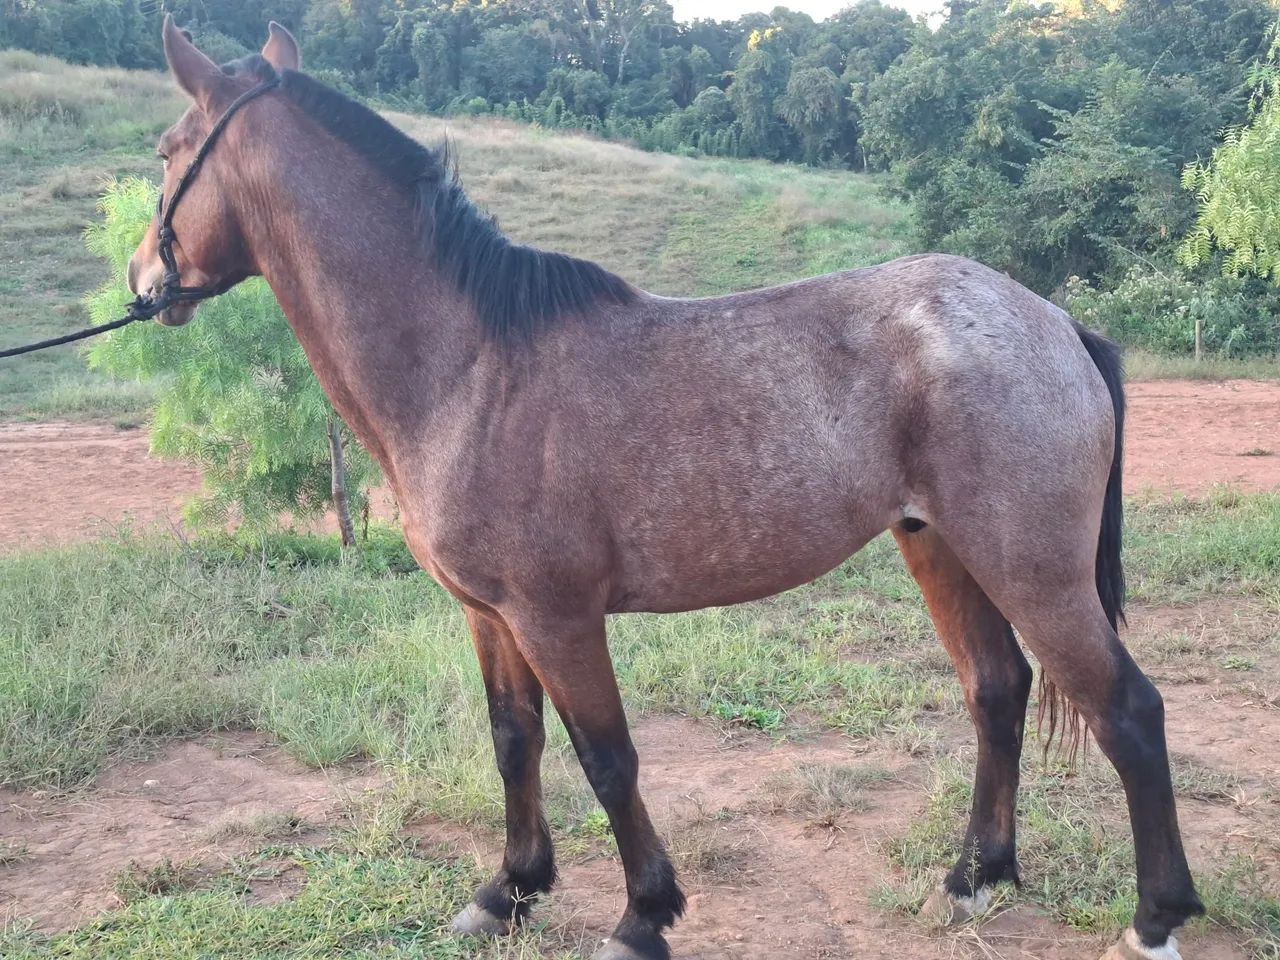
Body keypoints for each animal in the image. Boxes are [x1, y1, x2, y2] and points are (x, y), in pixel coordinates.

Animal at [126, 18, 1204, 960]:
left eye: (167, 149)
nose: (143, 280)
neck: (470, 369)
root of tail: (1054, 321)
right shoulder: (490, 615)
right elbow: (514, 742)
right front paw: (507, 892)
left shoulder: (556, 616)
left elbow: (606, 759)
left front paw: (642, 916)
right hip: (938, 547)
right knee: (997, 689)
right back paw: (975, 876)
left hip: (1033, 570)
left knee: (1127, 712)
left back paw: (1154, 919)